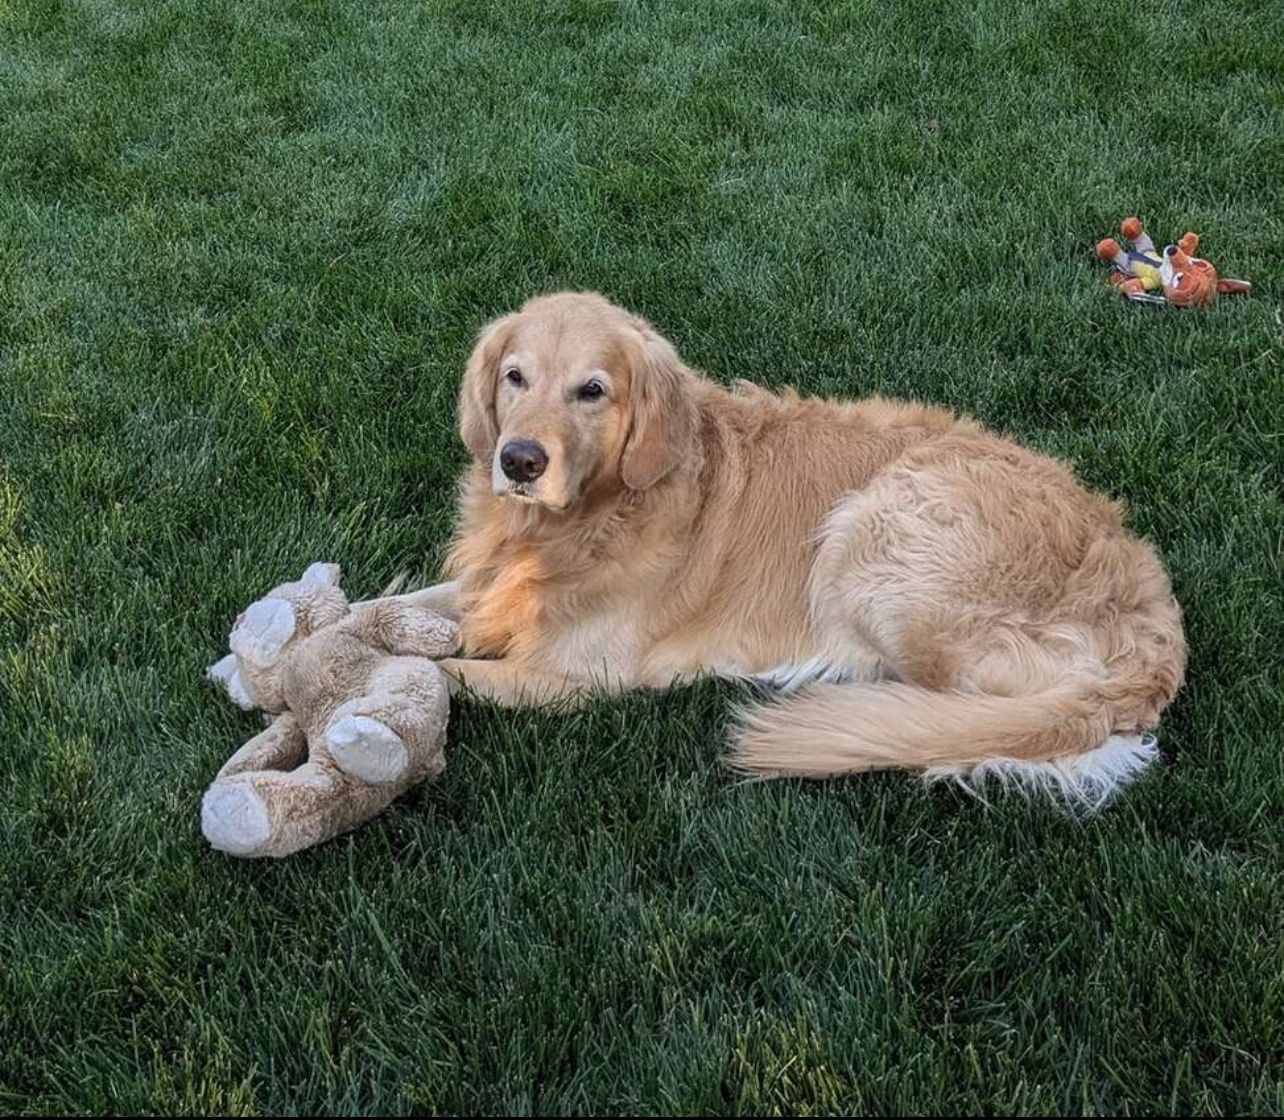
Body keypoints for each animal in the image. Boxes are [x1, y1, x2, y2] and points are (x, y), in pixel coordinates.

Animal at [370, 291, 1186, 805]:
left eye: (592, 391)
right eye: (516, 377)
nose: (519, 462)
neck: (583, 523)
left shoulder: (581, 677)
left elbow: (439, 672)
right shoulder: (489, 588)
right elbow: (404, 607)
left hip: (877, 533)